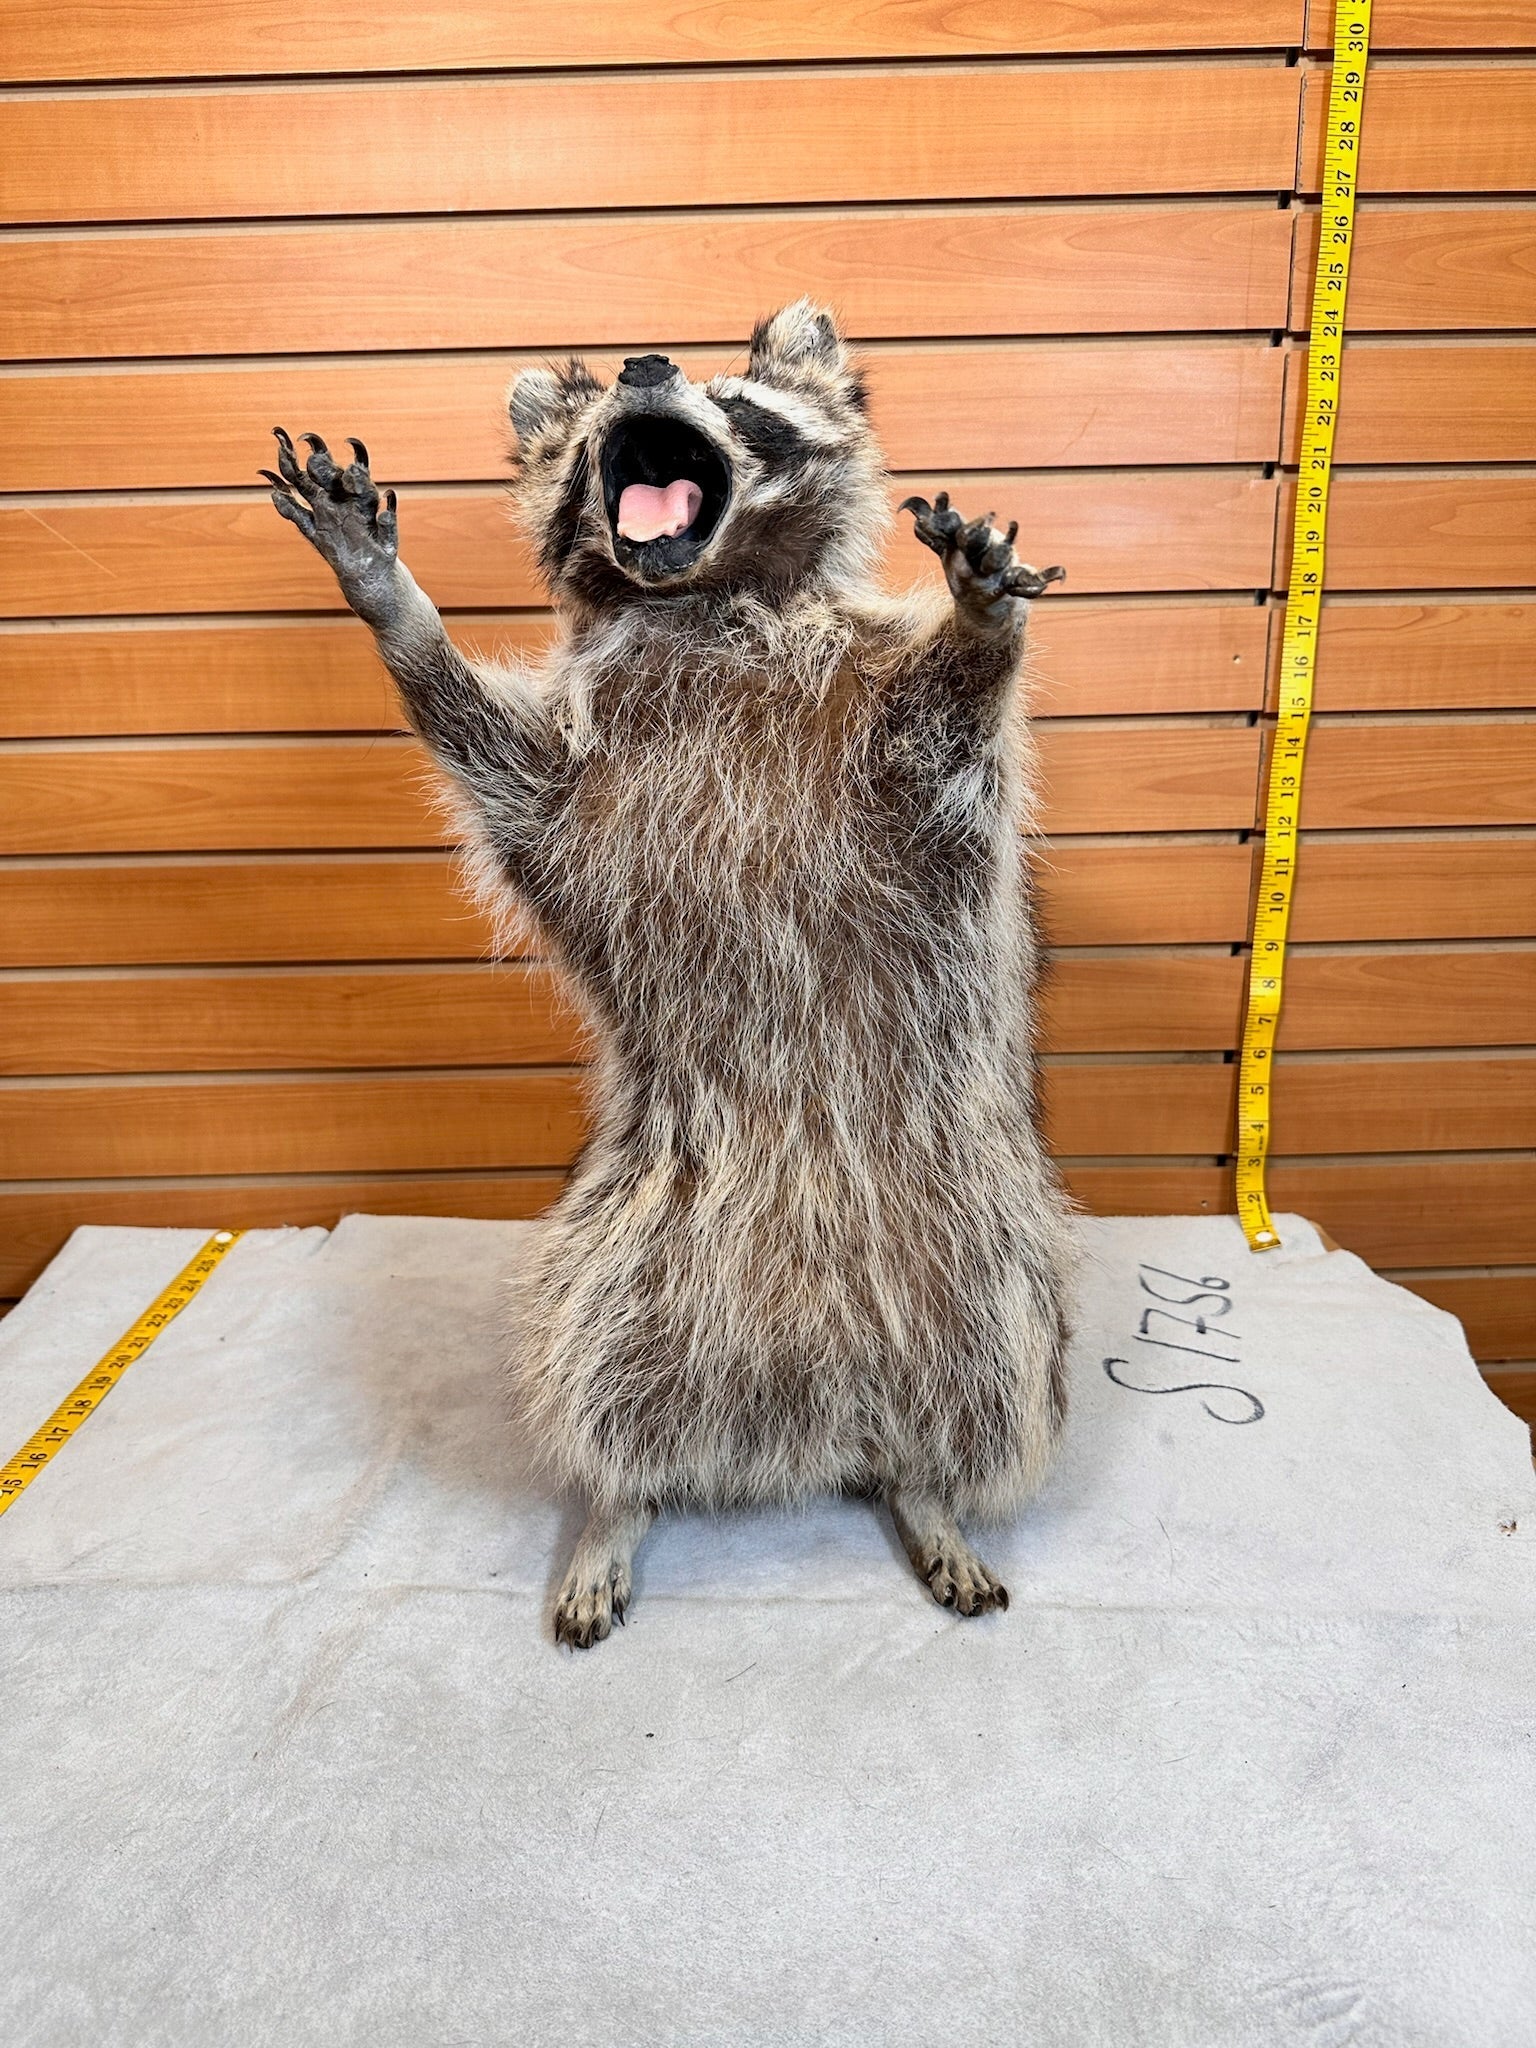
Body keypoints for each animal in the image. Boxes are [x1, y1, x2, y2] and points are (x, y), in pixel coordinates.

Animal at [265, 298, 1074, 1647]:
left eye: (736, 398)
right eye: (600, 408)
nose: (643, 363)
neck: (703, 599)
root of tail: (814, 1403)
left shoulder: (905, 781)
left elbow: (950, 735)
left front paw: (981, 630)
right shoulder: (572, 790)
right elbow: (486, 748)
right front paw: (393, 607)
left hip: (976, 1252)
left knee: (996, 1374)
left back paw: (926, 1486)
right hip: (627, 1249)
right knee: (586, 1366)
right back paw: (617, 1503)